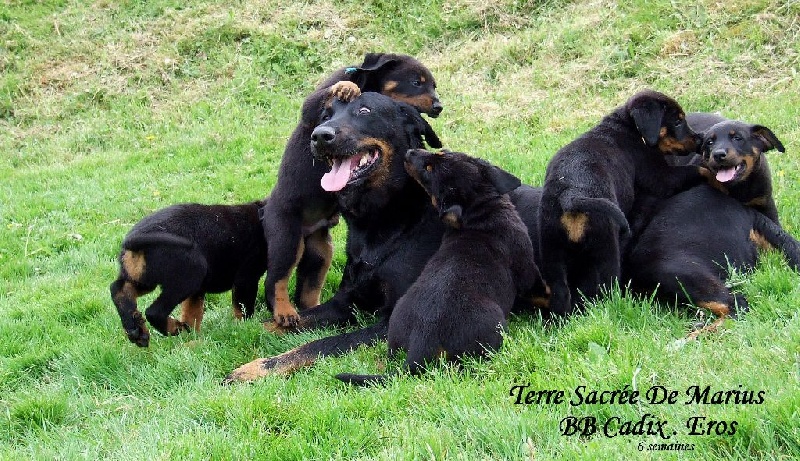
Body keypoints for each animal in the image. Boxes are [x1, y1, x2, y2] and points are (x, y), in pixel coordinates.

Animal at [109, 199, 268, 346]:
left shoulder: (198, 291)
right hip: (190, 276)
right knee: (154, 311)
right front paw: (246, 327)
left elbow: (192, 314)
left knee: (120, 290)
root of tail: (133, 239)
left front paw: (192, 339)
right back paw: (174, 328)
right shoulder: (246, 278)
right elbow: (243, 309)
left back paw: (137, 332)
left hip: (143, 278)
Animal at [223, 91, 444, 382]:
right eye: (326, 115)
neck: (386, 220)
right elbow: (272, 323)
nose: (319, 135)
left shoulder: (390, 320)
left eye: (365, 111)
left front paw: (257, 367)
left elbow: (320, 344)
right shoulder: (343, 303)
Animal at [260, 53, 444, 328]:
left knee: (308, 289)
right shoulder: (312, 108)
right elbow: (318, 99)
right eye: (416, 83)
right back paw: (284, 311)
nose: (439, 106)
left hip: (320, 251)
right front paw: (346, 88)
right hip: (286, 238)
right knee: (276, 281)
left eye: (433, 85)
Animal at [334, 148, 548, 384]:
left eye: (442, 154)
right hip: (494, 325)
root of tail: (420, 345)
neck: (481, 209)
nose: (409, 152)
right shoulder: (526, 268)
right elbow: (540, 287)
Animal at [536, 88, 708, 318]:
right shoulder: (659, 177)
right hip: (606, 247)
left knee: (560, 292)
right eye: (678, 121)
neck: (631, 128)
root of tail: (571, 195)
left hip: (551, 251)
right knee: (607, 285)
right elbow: (695, 170)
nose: (700, 140)